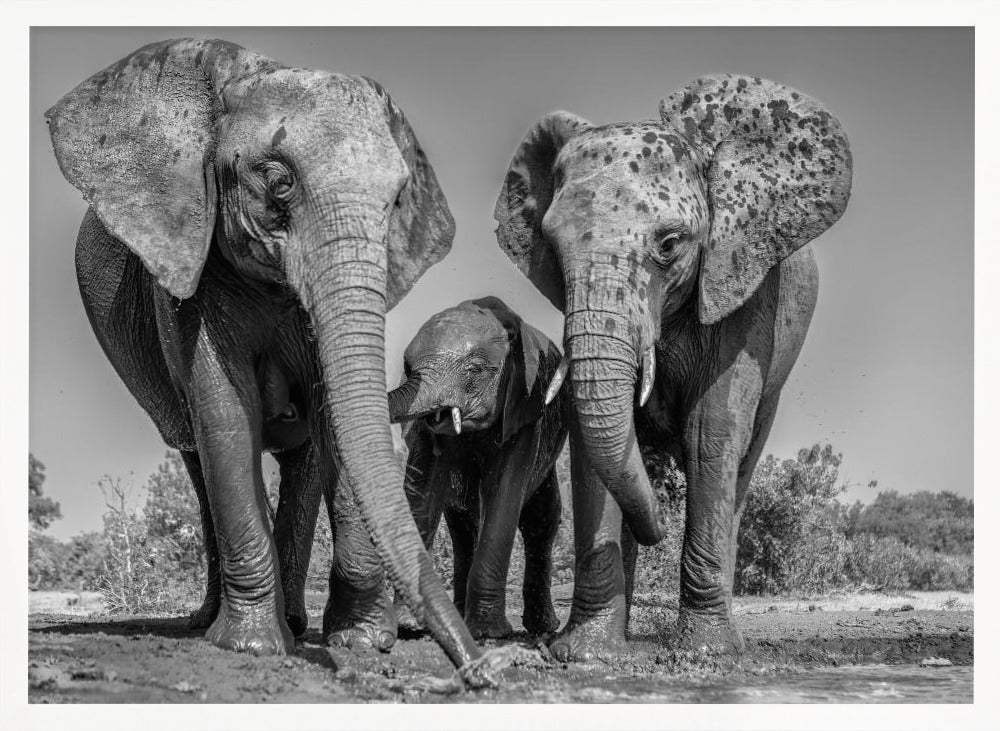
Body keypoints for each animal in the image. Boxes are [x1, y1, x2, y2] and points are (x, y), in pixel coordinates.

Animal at [46, 38, 491, 682]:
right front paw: (250, 647)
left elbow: (332, 418)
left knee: (302, 459)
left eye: (396, 201)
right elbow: (226, 416)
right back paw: (212, 623)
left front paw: (362, 642)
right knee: (196, 455)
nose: (484, 670)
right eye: (279, 184)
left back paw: (298, 624)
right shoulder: (189, 270)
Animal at [386, 297, 568, 639]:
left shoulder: (524, 409)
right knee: (462, 525)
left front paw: (489, 632)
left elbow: (502, 495)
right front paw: (408, 625)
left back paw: (543, 629)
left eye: (475, 370)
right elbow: (424, 495)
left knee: (542, 518)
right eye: (407, 368)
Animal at [494, 74, 852, 661]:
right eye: (553, 247)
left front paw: (706, 652)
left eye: (669, 244)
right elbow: (592, 442)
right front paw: (587, 652)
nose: (657, 528)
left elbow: (712, 432)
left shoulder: (745, 287)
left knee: (740, 467)